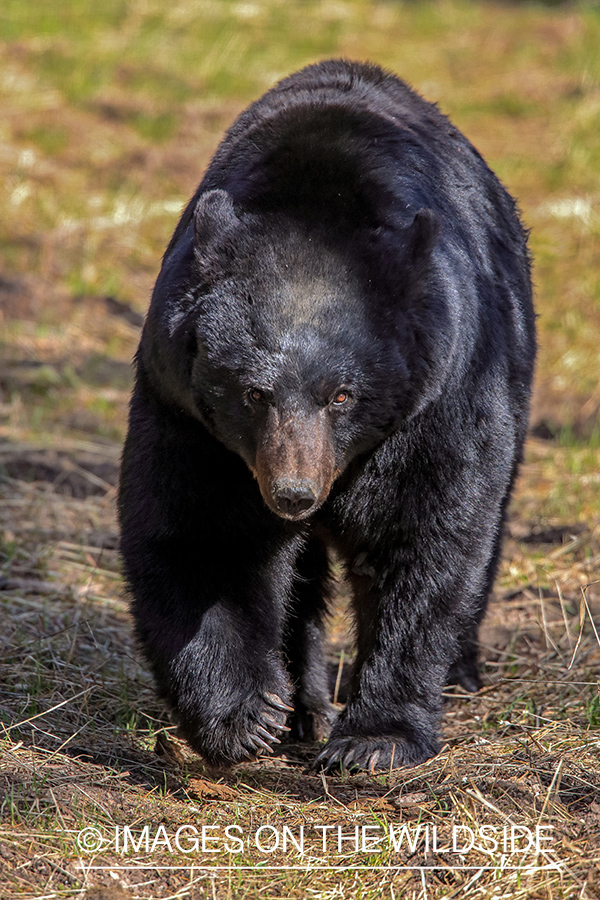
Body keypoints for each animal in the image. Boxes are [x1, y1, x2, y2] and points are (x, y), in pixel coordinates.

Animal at [117, 58, 536, 772]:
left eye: (341, 394)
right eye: (253, 393)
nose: (293, 493)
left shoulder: (441, 398)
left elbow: (422, 533)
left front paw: (375, 739)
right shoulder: (189, 412)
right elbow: (201, 531)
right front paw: (244, 716)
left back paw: (458, 671)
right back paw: (303, 710)